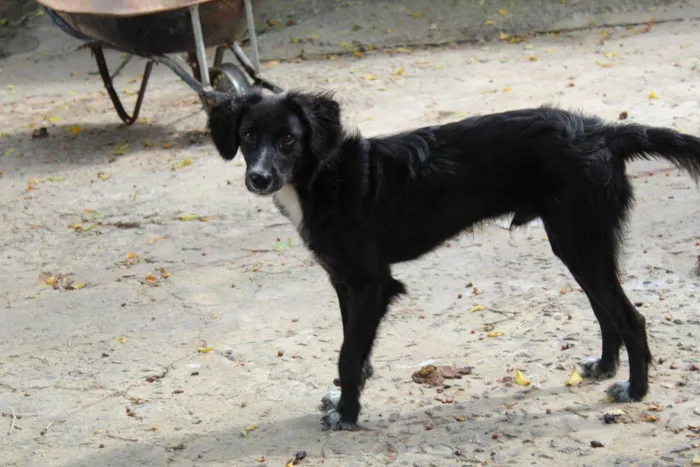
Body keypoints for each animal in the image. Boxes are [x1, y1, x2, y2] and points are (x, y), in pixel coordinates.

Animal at [208, 88, 700, 432]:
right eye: (248, 136)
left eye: (288, 139)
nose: (259, 178)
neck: (325, 175)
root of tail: (601, 131)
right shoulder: (344, 281)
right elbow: (353, 347)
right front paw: (348, 398)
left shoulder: (371, 282)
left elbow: (348, 354)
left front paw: (347, 414)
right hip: (575, 244)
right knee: (605, 311)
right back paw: (605, 367)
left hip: (581, 241)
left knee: (630, 317)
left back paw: (635, 390)